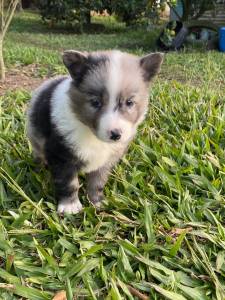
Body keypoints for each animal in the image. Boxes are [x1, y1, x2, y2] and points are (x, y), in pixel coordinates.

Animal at [26, 49, 163, 213]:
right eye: (95, 102)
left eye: (129, 102)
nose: (116, 135)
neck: (91, 134)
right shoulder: (61, 155)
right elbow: (68, 183)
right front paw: (70, 206)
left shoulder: (106, 161)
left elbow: (97, 182)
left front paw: (97, 202)